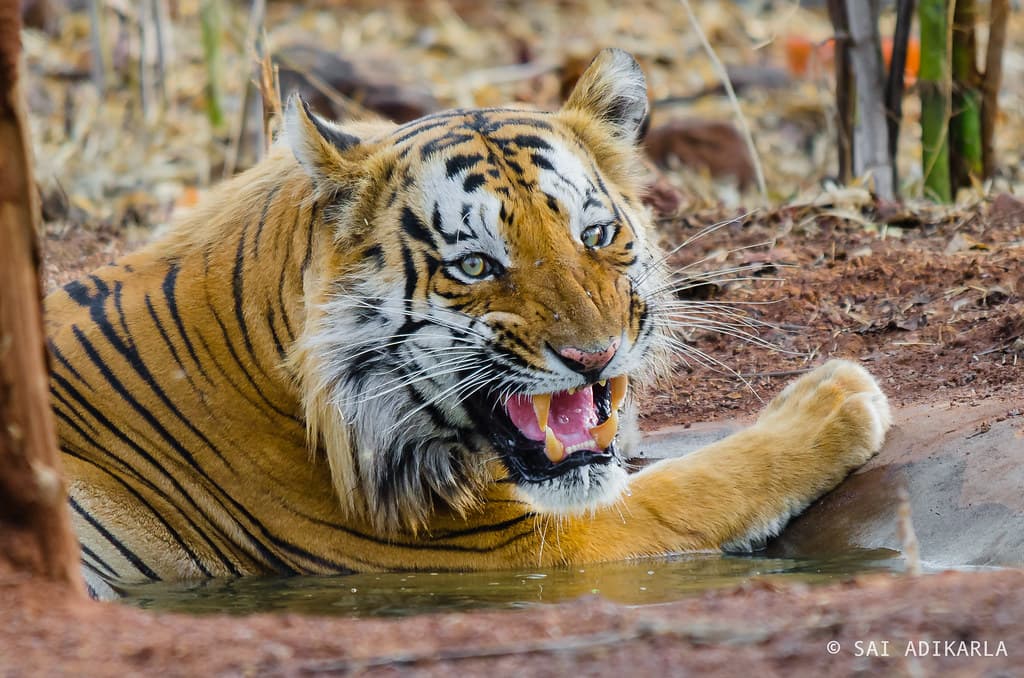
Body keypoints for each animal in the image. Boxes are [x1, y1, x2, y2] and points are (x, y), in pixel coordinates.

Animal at [46, 48, 891, 598]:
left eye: (595, 235)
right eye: (477, 266)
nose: (594, 356)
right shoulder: (523, 540)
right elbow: (699, 484)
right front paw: (834, 401)